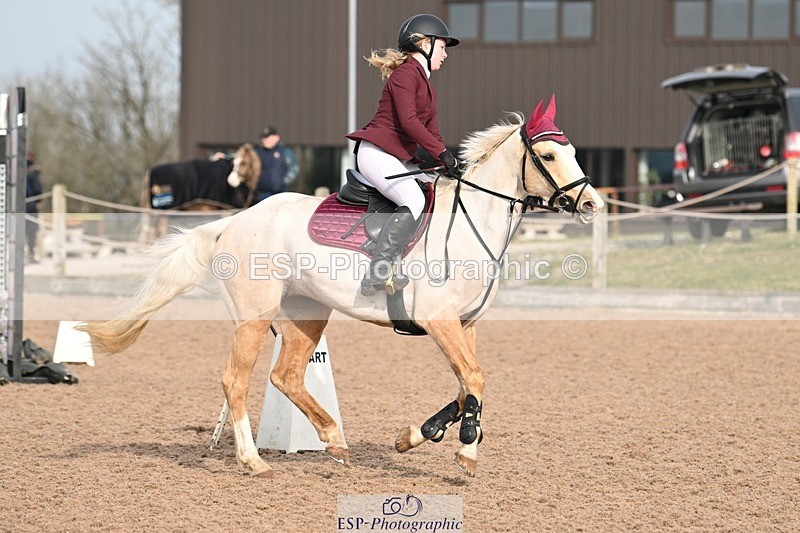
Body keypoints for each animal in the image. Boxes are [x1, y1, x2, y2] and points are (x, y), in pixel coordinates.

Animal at [82, 96, 603, 478]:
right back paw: (253, 461)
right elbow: (473, 382)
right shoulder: (439, 321)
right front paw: (465, 453)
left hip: (308, 313)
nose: (592, 204)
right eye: (549, 155)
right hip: (255, 318)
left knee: (286, 376)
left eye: (576, 152)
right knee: (236, 380)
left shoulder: (464, 325)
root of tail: (234, 221)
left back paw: (333, 440)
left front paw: (415, 436)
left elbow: (465, 387)